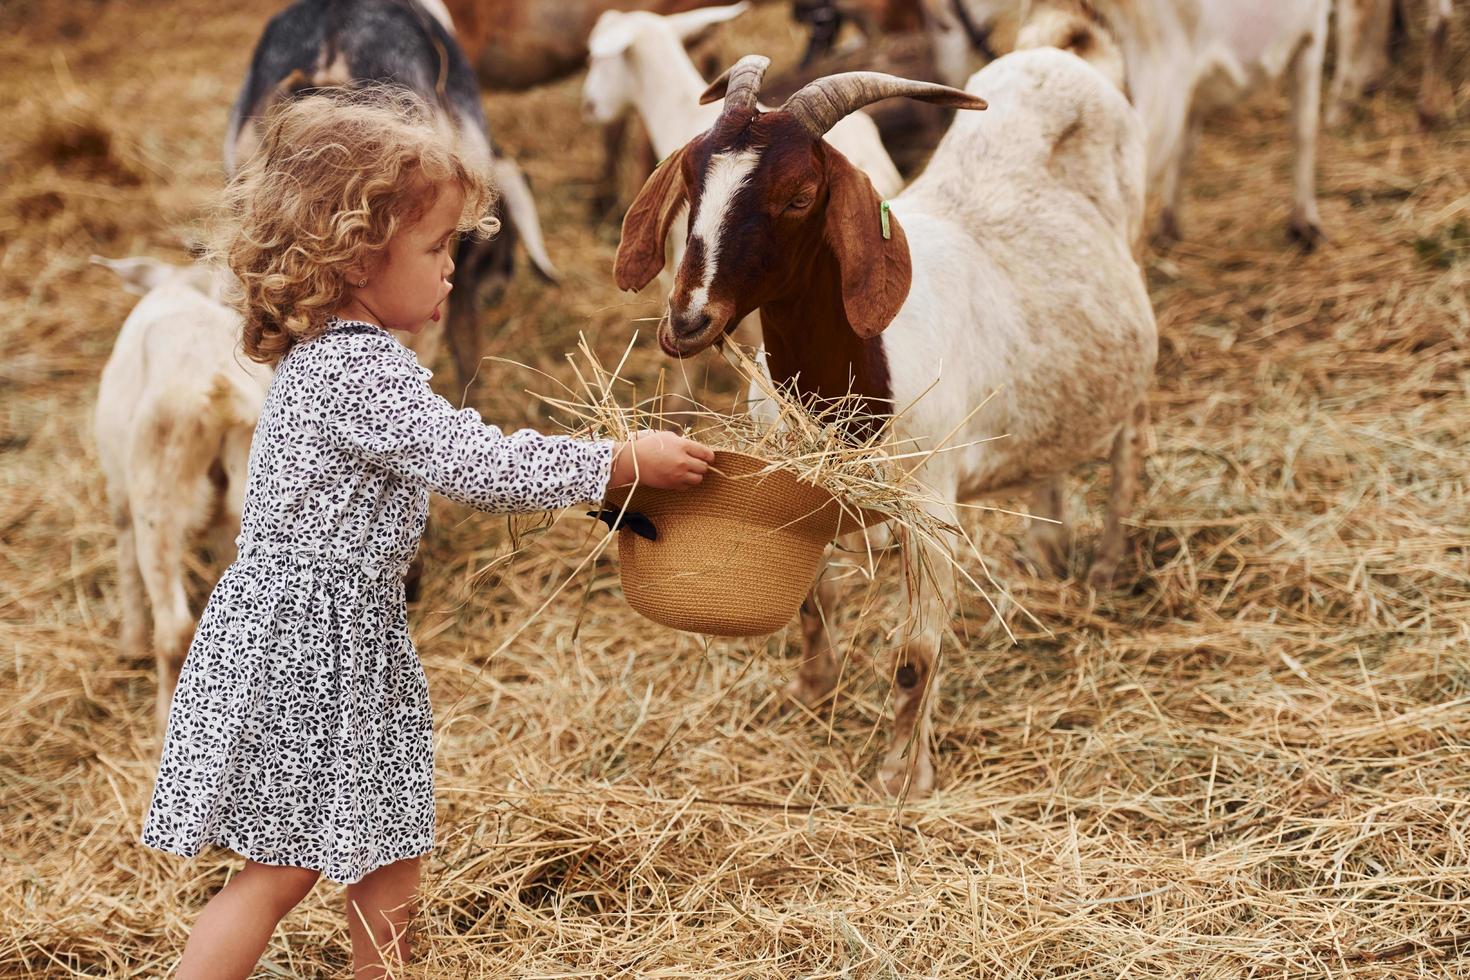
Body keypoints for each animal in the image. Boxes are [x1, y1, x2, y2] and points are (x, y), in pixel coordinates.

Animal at [91, 257, 273, 731]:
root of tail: (219, 393)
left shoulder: (120, 491)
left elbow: (125, 559)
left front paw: (130, 644)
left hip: (158, 498)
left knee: (174, 629)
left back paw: (162, 723)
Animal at [614, 49, 1152, 793]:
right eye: (692, 180)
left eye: (800, 195)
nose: (688, 320)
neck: (865, 367)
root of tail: (1053, 59)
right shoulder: (800, 483)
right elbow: (811, 601)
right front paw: (813, 691)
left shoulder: (930, 512)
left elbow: (915, 656)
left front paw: (902, 778)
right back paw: (1047, 549)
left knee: (1126, 431)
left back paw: (1105, 564)